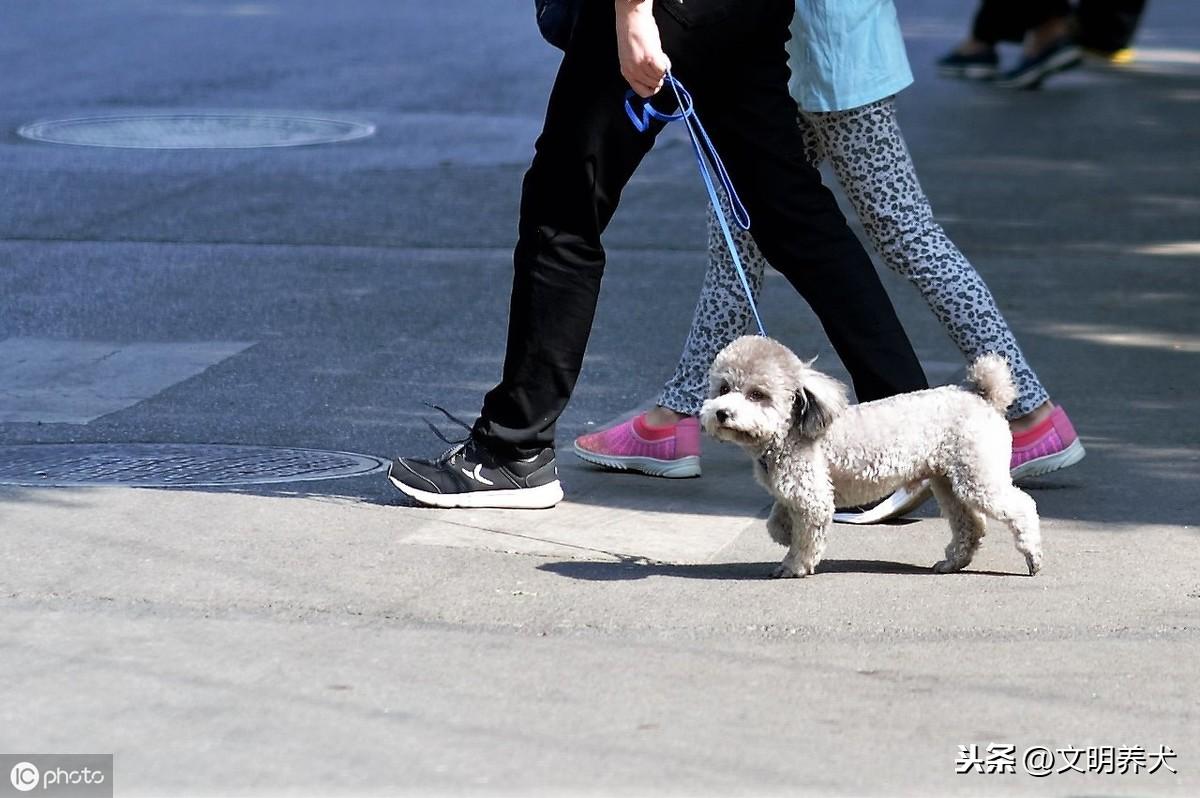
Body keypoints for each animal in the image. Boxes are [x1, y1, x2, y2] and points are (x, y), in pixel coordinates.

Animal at [700, 336, 1041, 578]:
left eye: (757, 395)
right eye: (724, 388)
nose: (722, 413)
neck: (789, 431)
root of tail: (984, 396)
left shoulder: (812, 498)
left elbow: (806, 537)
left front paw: (794, 566)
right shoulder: (795, 493)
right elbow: (775, 522)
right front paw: (785, 535)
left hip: (978, 477)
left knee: (1022, 507)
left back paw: (1033, 557)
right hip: (948, 480)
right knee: (970, 524)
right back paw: (953, 562)